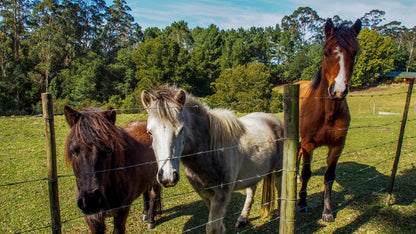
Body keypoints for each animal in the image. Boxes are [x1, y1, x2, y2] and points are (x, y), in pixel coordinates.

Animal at [64, 106, 162, 234]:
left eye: (108, 150)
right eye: (74, 151)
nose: (91, 201)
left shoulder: (122, 213)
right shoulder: (93, 220)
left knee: (153, 195)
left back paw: (150, 219)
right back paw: (145, 213)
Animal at [142, 85, 282, 233]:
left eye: (181, 130)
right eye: (149, 132)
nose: (168, 177)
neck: (210, 152)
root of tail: (275, 120)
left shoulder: (221, 196)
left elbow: (212, 228)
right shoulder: (205, 194)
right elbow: (218, 226)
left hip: (279, 170)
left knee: (280, 188)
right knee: (251, 190)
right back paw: (242, 219)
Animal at [296, 19, 360, 222]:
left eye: (354, 53)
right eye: (326, 52)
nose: (338, 91)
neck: (327, 113)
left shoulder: (337, 146)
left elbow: (329, 176)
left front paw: (327, 210)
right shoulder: (308, 145)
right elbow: (307, 173)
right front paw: (302, 203)